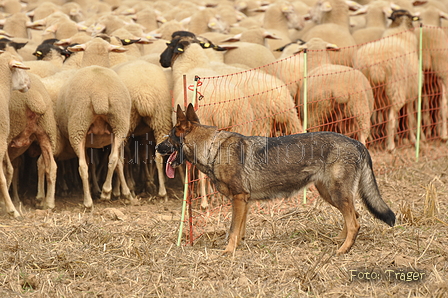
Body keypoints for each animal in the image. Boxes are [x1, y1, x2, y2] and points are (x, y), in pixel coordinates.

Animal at [156, 104, 394, 254]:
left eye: (168, 137)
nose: (156, 148)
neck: (213, 149)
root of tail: (358, 143)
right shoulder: (244, 202)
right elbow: (239, 230)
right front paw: (238, 247)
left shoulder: (239, 199)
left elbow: (232, 230)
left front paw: (227, 252)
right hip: (330, 194)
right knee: (354, 216)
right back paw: (340, 241)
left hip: (336, 194)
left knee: (355, 222)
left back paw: (343, 249)